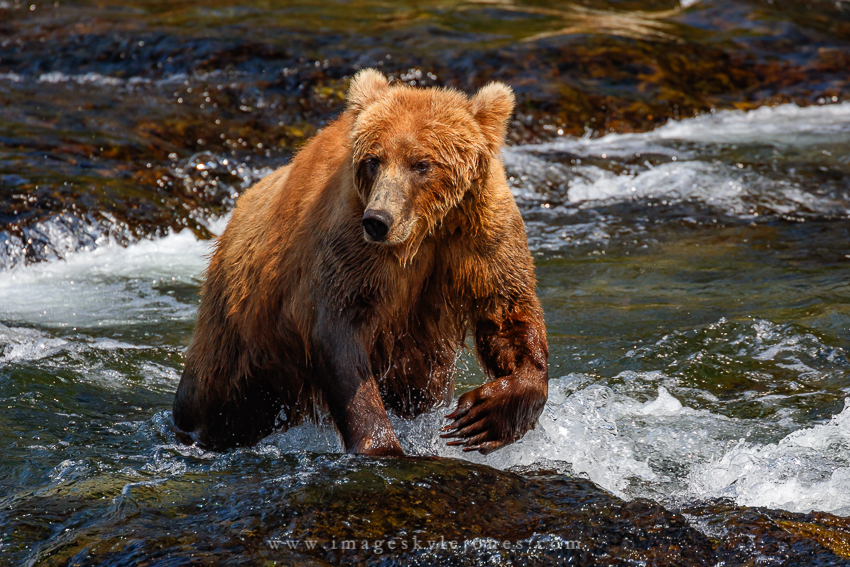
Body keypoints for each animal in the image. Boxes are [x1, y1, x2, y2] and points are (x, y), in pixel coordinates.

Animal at [172, 69, 549, 456]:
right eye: (373, 159)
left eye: (421, 163)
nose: (378, 220)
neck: (422, 233)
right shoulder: (351, 247)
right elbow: (340, 332)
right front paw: (382, 445)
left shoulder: (480, 235)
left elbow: (507, 311)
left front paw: (485, 416)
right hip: (241, 327)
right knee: (214, 396)